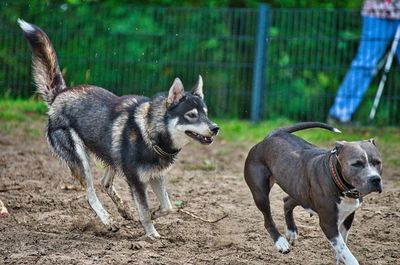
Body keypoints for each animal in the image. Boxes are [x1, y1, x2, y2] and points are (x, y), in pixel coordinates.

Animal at [18, 19, 219, 236]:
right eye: (191, 115)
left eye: (206, 112)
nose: (216, 128)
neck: (150, 133)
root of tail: (59, 94)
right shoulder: (137, 180)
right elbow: (145, 211)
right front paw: (153, 236)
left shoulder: (156, 176)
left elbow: (167, 207)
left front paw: (154, 214)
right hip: (81, 158)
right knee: (90, 192)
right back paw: (108, 220)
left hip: (111, 156)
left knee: (104, 183)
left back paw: (124, 211)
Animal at [245, 121, 382, 264]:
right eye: (356, 164)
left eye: (378, 162)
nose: (375, 179)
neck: (341, 185)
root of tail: (272, 136)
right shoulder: (328, 224)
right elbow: (346, 252)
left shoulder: (348, 217)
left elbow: (342, 248)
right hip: (260, 194)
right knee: (268, 220)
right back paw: (280, 242)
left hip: (300, 192)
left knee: (287, 202)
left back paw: (291, 231)